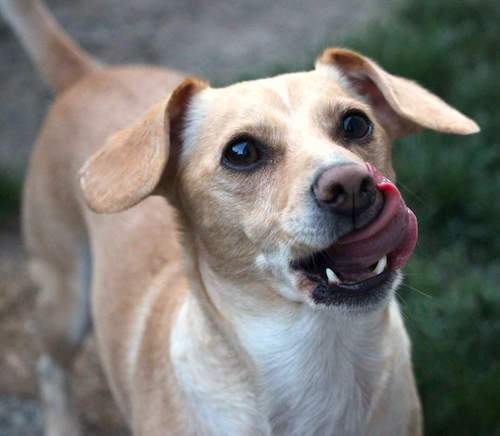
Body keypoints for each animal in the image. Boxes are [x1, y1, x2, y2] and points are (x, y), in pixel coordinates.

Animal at [1, 0, 480, 436]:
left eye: (356, 124)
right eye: (242, 151)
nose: (350, 185)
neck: (319, 356)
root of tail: (88, 74)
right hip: (65, 301)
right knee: (49, 369)